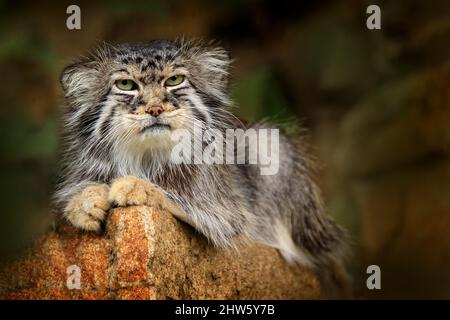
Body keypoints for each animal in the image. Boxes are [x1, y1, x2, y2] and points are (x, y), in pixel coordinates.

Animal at [51, 38, 348, 296]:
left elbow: (183, 201)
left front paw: (138, 186)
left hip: (269, 143)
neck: (147, 158)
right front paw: (83, 201)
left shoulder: (228, 213)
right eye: (125, 84)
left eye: (174, 80)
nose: (155, 109)